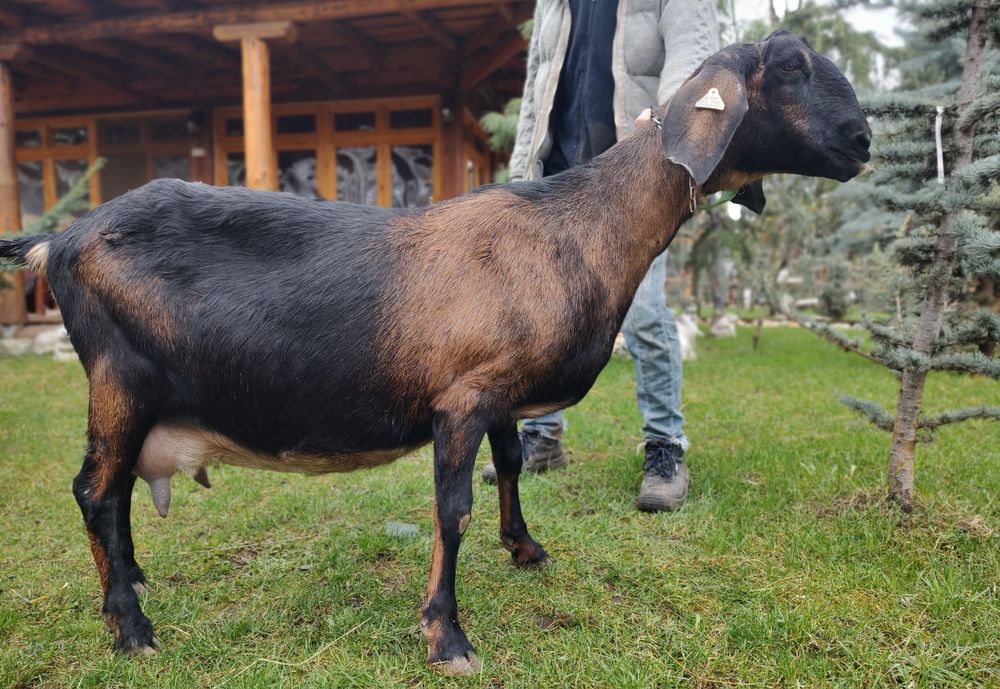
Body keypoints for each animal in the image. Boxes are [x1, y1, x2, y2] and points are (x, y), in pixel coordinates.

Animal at [0, 31, 870, 674]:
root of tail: (58, 240)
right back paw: (132, 627)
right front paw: (447, 636)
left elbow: (511, 464)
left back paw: (128, 582)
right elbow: (452, 510)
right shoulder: (460, 396)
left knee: (112, 495)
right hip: (122, 377)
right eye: (792, 70)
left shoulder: (500, 388)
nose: (862, 139)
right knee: (94, 490)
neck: (579, 225)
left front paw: (526, 547)